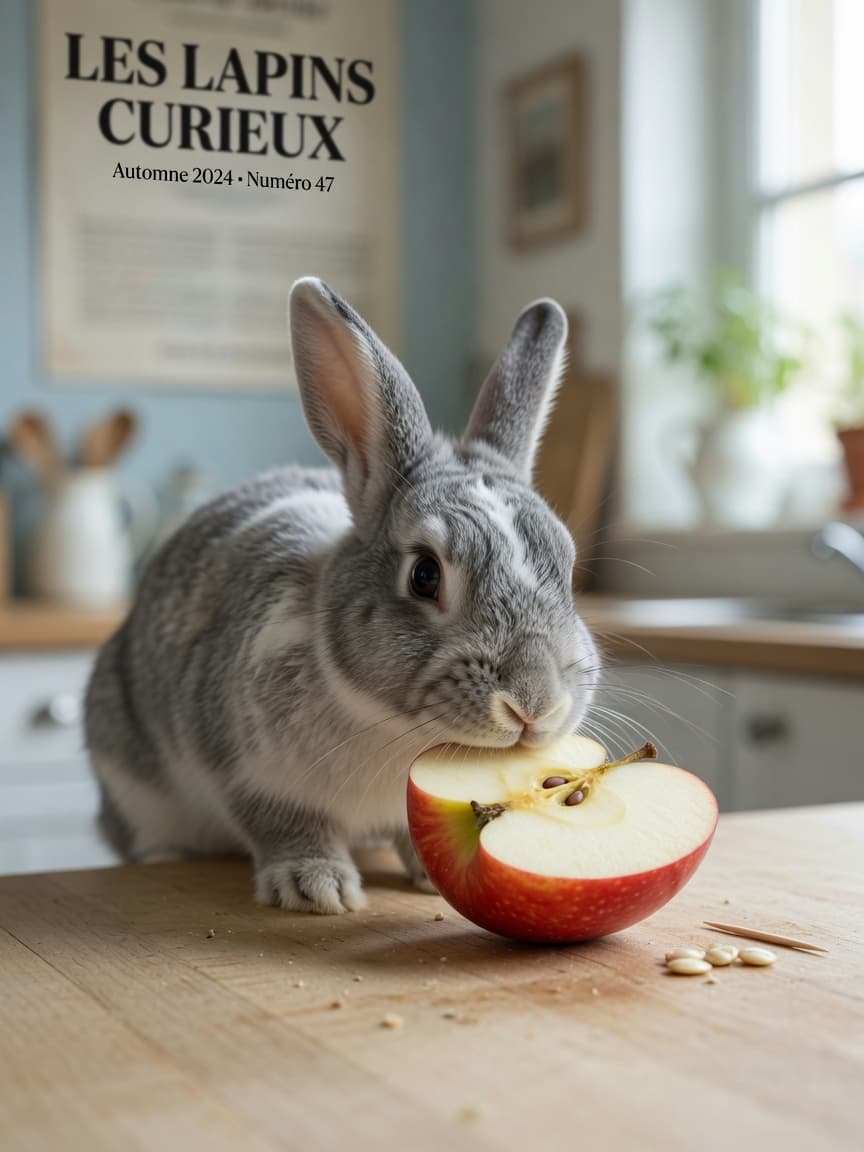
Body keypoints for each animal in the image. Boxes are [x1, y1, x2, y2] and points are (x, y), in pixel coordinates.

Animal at [85, 278, 600, 914]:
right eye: (424, 575)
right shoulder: (244, 771)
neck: (392, 728)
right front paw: (316, 887)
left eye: (568, 569)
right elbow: (285, 824)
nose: (536, 705)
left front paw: (430, 876)